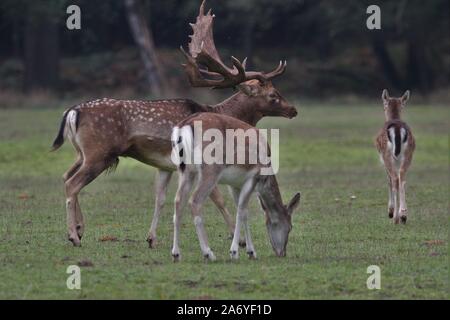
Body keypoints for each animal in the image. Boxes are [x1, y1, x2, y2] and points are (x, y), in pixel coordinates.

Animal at [51, 0, 298, 248]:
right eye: (273, 95)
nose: (293, 110)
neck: (221, 113)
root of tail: (72, 112)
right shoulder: (202, 160)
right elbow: (217, 198)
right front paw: (238, 239)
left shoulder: (165, 165)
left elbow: (160, 199)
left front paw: (151, 238)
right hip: (99, 152)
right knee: (72, 183)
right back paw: (74, 235)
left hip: (82, 153)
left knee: (65, 176)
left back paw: (80, 228)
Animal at [171, 114, 300, 262]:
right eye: (290, 227)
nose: (282, 253)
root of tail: (184, 126)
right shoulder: (252, 177)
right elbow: (241, 210)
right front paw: (234, 252)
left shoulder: (235, 184)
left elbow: (245, 212)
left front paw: (251, 252)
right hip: (211, 170)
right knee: (195, 201)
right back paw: (208, 253)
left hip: (185, 171)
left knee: (178, 201)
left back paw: (176, 254)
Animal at [374, 89, 416, 225]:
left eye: (383, 104)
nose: (383, 108)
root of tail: (397, 128)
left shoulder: (382, 160)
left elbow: (388, 181)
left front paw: (390, 212)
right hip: (408, 154)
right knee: (402, 177)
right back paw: (403, 215)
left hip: (387, 156)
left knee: (394, 179)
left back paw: (396, 217)